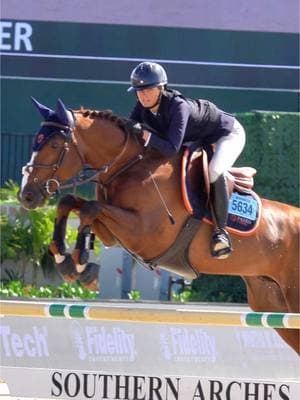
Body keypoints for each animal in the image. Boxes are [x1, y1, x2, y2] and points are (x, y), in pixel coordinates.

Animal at [19, 99, 298, 354]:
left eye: (55, 145)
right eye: (36, 142)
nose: (26, 195)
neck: (129, 165)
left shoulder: (144, 233)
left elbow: (90, 209)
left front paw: (79, 261)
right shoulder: (112, 235)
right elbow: (70, 202)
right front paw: (64, 258)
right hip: (271, 302)